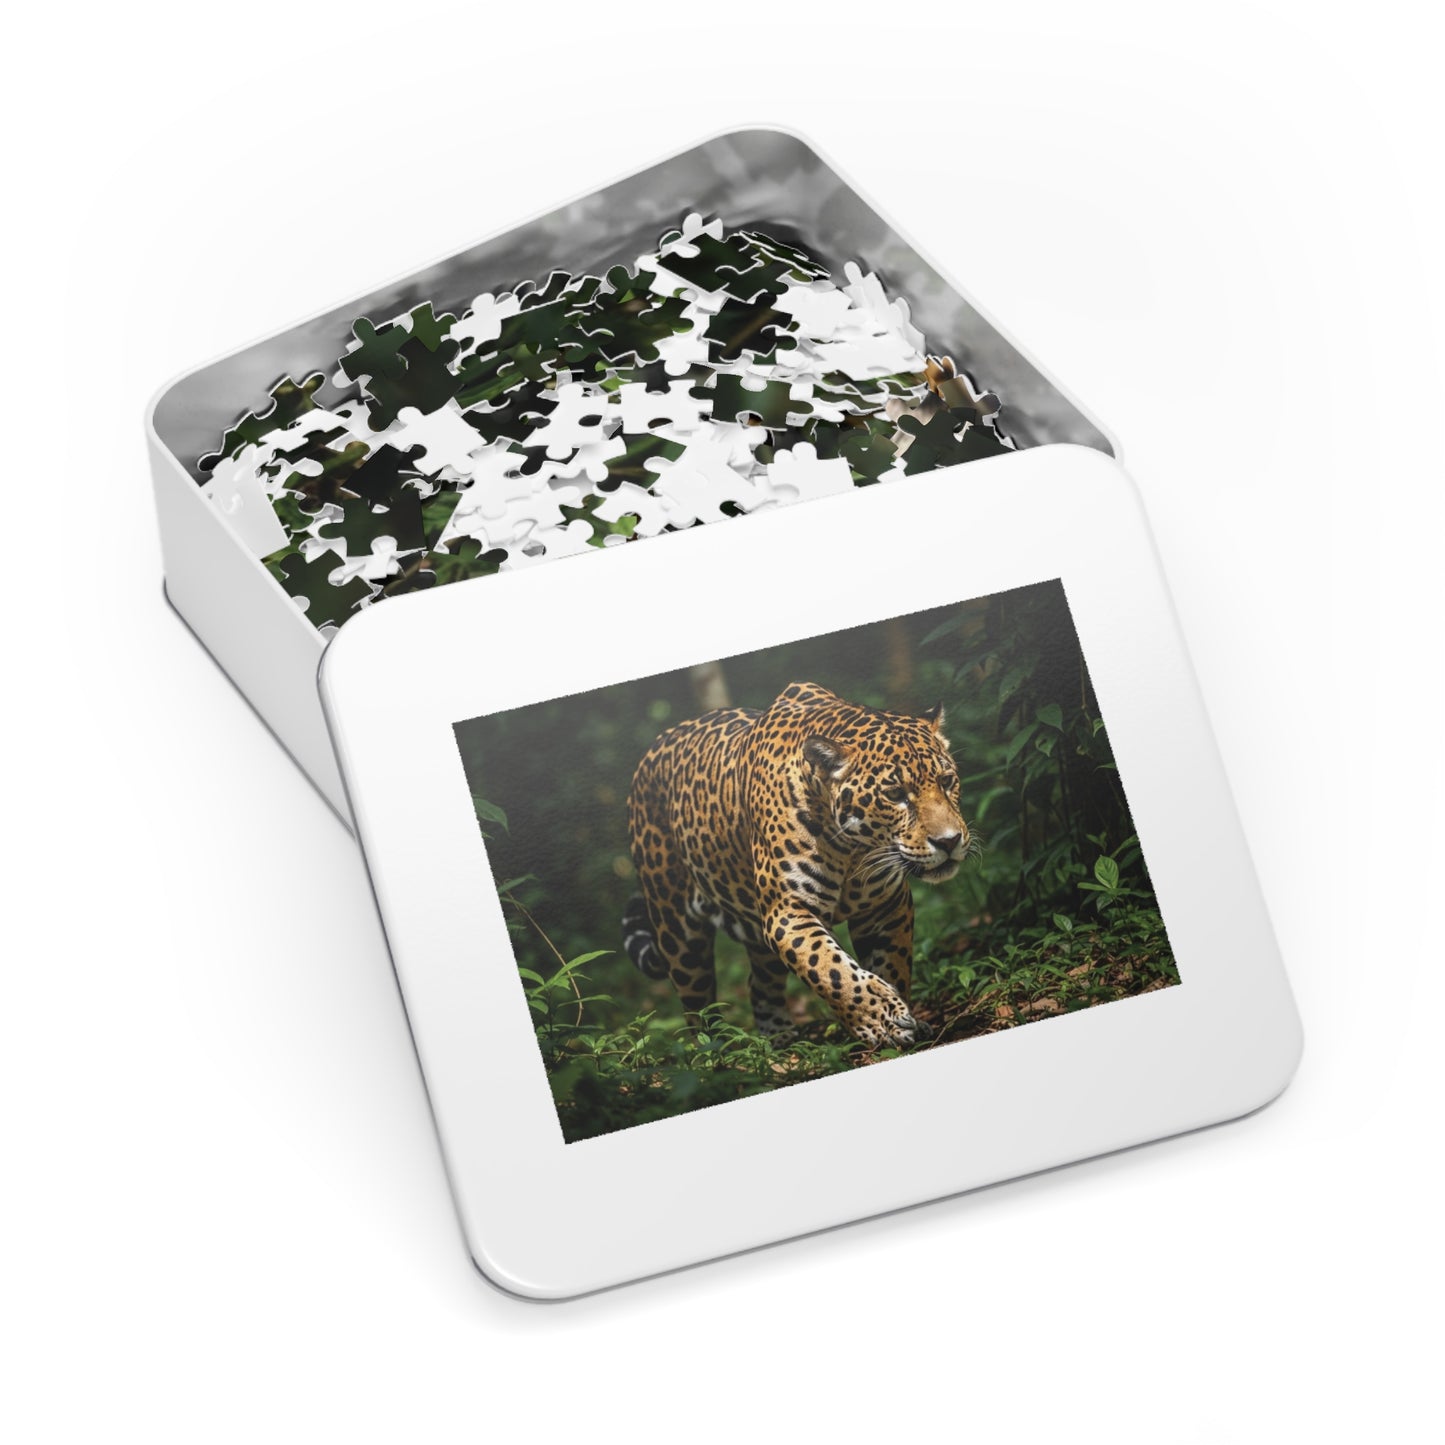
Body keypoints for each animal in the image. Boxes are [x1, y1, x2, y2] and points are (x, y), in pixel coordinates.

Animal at [622, 681, 973, 1047]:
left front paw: (905, 1020)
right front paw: (884, 1022)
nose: (949, 841)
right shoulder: (788, 912)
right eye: (895, 794)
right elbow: (832, 969)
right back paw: (715, 1051)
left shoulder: (886, 906)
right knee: (696, 1009)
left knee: (759, 984)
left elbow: (891, 964)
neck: (853, 849)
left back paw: (780, 1039)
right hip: (678, 933)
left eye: (947, 781)